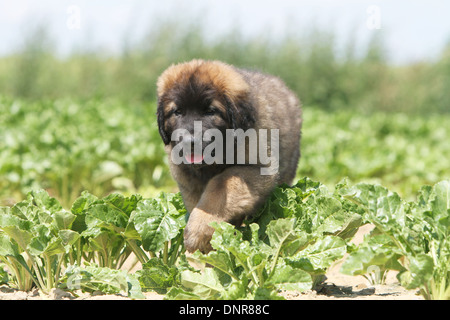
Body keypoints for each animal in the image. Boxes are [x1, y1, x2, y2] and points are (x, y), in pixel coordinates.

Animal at [156, 59, 300, 252]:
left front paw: (199, 231)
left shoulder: (257, 168)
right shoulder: (187, 178)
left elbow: (220, 185)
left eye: (210, 111)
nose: (188, 141)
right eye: (177, 112)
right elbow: (197, 202)